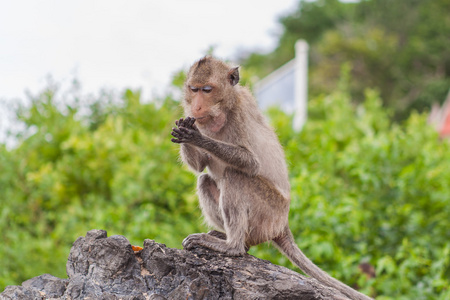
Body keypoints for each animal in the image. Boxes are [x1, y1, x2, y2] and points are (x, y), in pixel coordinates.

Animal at [171, 56, 370, 300]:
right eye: (194, 89)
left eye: (207, 90)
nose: (197, 106)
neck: (222, 110)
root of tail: (282, 225)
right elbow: (200, 167)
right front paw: (186, 132)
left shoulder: (240, 112)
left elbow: (250, 162)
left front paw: (195, 136)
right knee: (205, 180)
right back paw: (229, 238)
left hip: (268, 214)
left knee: (235, 175)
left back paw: (232, 246)